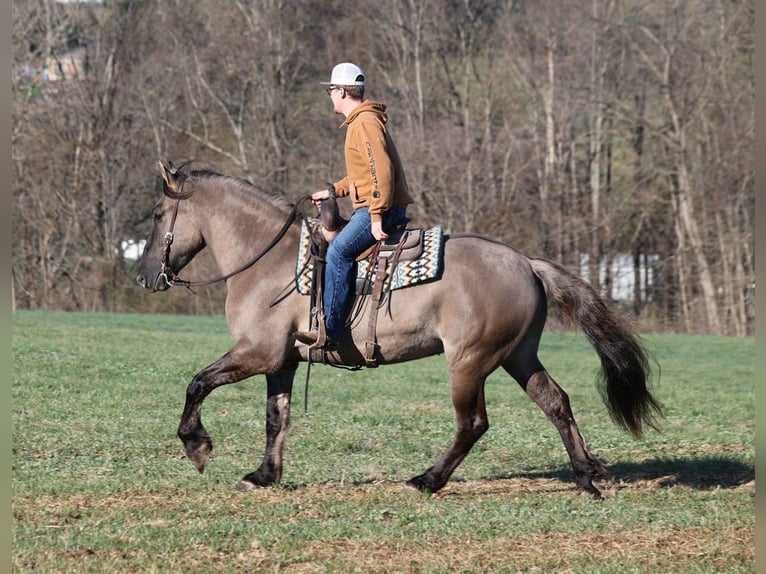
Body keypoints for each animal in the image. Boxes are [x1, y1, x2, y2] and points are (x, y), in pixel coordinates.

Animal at [135, 161, 664, 500]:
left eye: (158, 215)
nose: (143, 277)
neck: (269, 261)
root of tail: (526, 263)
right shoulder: (281, 361)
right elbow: (275, 418)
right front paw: (265, 475)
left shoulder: (256, 353)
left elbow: (198, 382)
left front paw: (197, 445)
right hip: (518, 356)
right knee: (556, 402)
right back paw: (586, 476)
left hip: (469, 361)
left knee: (473, 423)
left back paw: (428, 480)